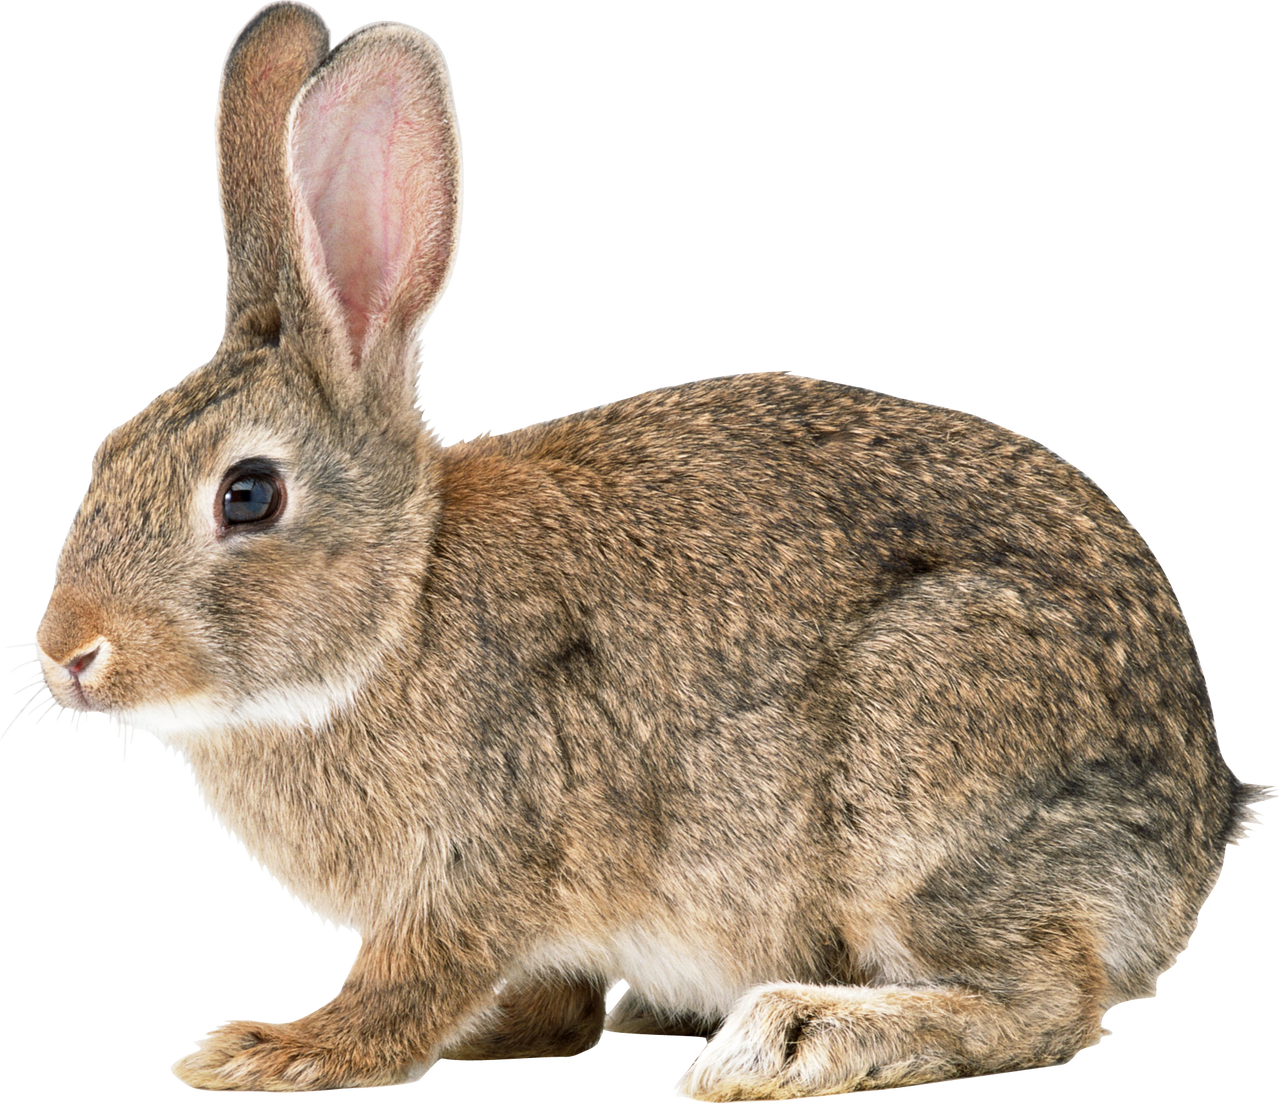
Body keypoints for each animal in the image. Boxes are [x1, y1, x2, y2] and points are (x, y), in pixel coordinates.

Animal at [3, 0, 1274, 1096]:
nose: (71, 652)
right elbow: (545, 999)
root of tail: (1201, 810)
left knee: (1048, 999)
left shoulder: (480, 858)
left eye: (249, 494)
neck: (396, 612)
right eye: (104, 454)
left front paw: (273, 1047)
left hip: (924, 772)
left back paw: (791, 1040)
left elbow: (406, 983)